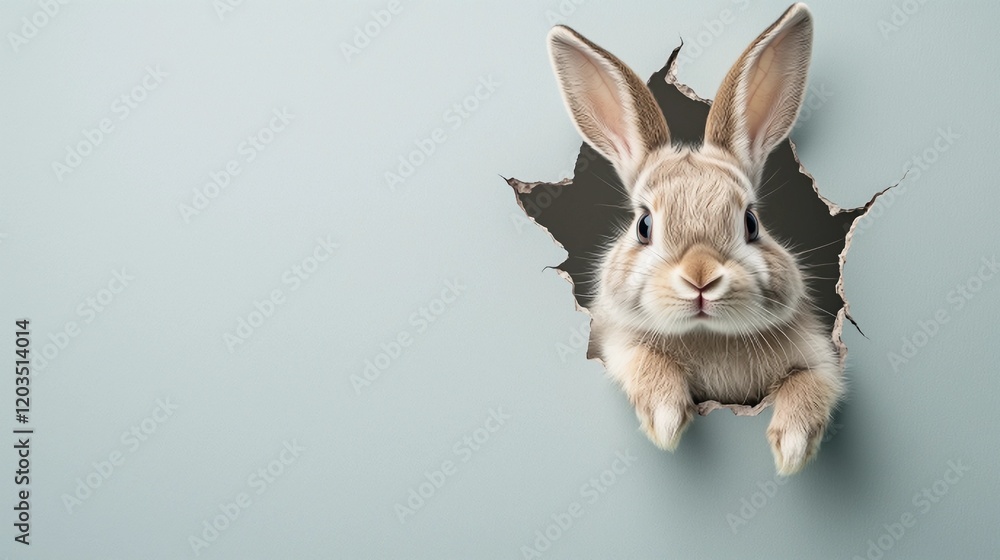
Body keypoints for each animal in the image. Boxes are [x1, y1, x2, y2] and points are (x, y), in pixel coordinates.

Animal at [546, 3, 843, 475]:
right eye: (644, 226)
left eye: (751, 223)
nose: (700, 277)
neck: (708, 335)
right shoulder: (615, 343)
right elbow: (644, 360)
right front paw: (667, 420)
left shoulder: (822, 359)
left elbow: (813, 384)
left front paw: (793, 448)